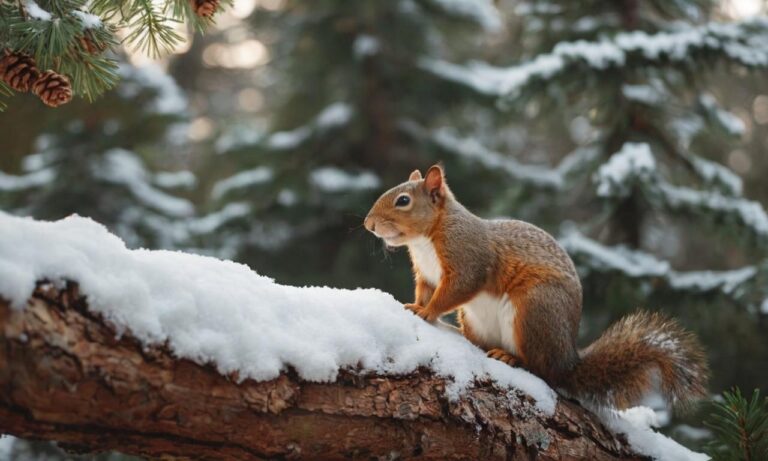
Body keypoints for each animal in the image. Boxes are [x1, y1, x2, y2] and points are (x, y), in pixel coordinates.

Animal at [364, 164, 712, 408]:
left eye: (403, 200)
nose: (368, 224)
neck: (427, 239)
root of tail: (567, 360)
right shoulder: (426, 274)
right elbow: (424, 291)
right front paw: (415, 306)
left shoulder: (467, 261)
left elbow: (454, 291)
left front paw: (427, 313)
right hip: (479, 319)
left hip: (534, 309)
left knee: (541, 369)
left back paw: (512, 359)